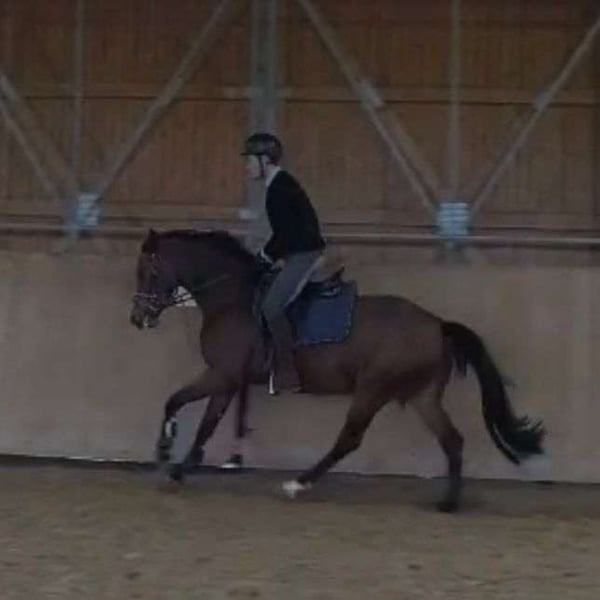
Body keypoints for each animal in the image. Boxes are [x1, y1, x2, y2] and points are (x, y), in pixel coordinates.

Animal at [129, 228, 544, 512]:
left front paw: (166, 451)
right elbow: (206, 423)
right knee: (452, 440)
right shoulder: (229, 380)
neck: (231, 299)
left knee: (350, 438)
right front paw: (180, 467)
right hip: (422, 395)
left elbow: (175, 402)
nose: (138, 318)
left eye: (148, 272)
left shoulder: (223, 374)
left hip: (373, 388)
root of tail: (438, 325)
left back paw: (298, 484)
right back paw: (449, 503)